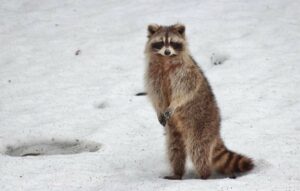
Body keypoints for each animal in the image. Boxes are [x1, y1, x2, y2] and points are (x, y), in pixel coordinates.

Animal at [144, 23, 252, 179]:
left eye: (172, 43)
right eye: (161, 42)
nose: (167, 51)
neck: (165, 60)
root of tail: (216, 130)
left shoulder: (186, 72)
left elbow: (186, 89)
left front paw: (174, 104)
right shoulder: (153, 74)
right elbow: (155, 94)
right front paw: (159, 108)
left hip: (201, 126)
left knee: (198, 149)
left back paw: (204, 175)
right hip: (174, 131)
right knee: (174, 149)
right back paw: (177, 173)